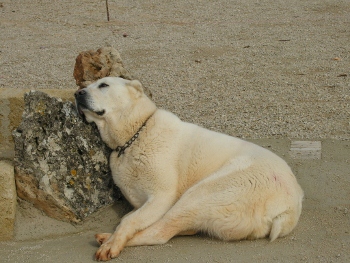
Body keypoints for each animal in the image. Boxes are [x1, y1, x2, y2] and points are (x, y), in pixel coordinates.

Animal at [74, 77, 304, 262]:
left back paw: (108, 241)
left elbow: (130, 219)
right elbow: (131, 215)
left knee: (163, 230)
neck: (136, 133)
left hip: (212, 189)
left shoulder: (162, 196)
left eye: (103, 85)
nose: (77, 93)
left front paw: (115, 242)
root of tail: (290, 206)